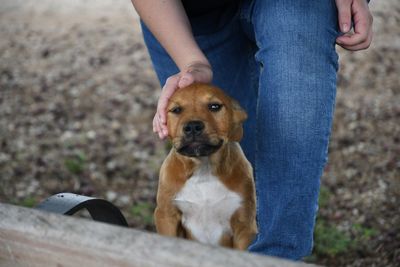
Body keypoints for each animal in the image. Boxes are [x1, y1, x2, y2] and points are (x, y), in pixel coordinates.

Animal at [153, 82, 256, 250]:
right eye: (176, 110)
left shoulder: (244, 225)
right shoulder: (166, 216)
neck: (203, 170)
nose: (193, 126)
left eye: (214, 106)